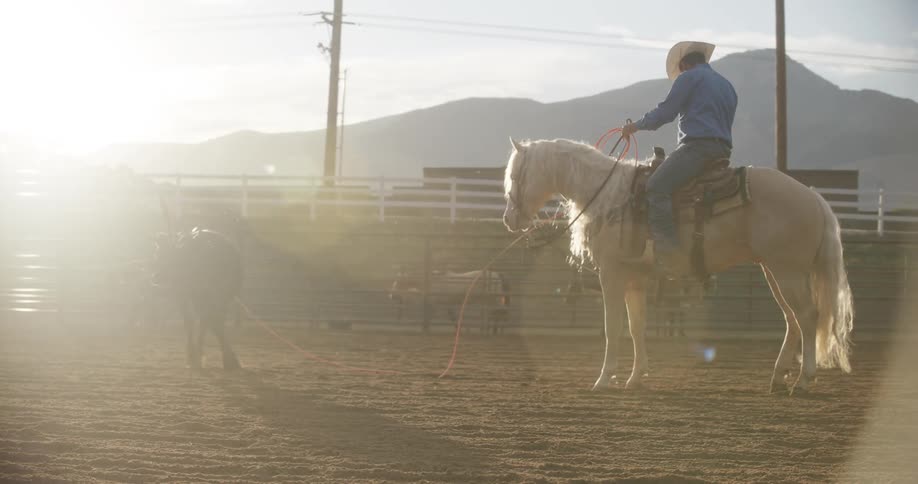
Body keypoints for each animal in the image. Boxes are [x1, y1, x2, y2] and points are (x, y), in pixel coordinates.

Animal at [502, 138, 853, 394]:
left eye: (516, 176)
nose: (509, 219)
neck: (608, 196)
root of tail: (814, 197)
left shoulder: (612, 274)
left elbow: (613, 327)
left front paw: (604, 379)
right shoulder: (635, 279)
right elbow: (636, 326)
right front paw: (635, 378)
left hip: (787, 271)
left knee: (807, 317)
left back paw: (803, 379)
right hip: (774, 271)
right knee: (792, 319)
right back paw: (779, 375)